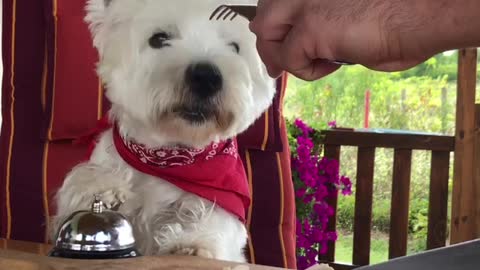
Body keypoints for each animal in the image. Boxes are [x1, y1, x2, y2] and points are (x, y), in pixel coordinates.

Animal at [51, 0, 276, 262]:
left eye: (234, 47)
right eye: (159, 39)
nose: (206, 77)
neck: (168, 159)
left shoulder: (224, 199)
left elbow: (215, 222)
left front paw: (193, 242)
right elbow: (81, 184)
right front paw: (104, 188)